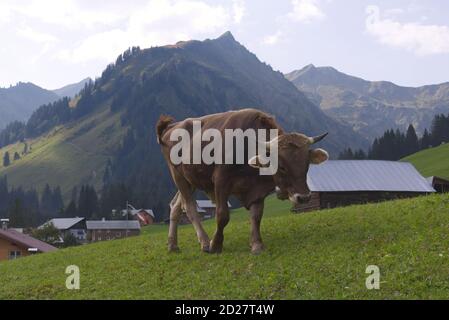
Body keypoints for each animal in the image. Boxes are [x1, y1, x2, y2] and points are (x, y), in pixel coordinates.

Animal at [158, 109, 328, 254]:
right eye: (282, 166)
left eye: (306, 164)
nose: (304, 197)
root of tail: (171, 127)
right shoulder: (220, 180)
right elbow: (222, 215)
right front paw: (216, 244)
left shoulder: (258, 189)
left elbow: (256, 216)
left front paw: (257, 244)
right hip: (178, 175)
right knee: (189, 207)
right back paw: (205, 242)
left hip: (190, 180)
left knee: (175, 206)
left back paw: (172, 245)